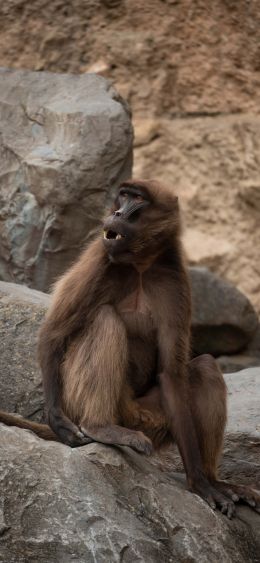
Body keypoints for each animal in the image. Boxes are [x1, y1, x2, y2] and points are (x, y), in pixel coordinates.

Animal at [0, 181, 260, 520]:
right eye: (123, 196)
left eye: (137, 199)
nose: (118, 214)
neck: (140, 263)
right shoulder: (99, 254)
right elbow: (54, 333)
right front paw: (57, 421)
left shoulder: (174, 277)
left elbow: (171, 374)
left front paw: (201, 484)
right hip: (94, 401)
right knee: (105, 318)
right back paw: (100, 427)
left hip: (151, 418)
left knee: (204, 367)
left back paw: (215, 479)